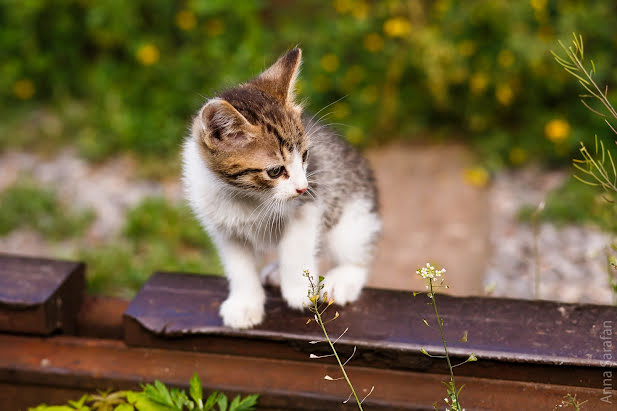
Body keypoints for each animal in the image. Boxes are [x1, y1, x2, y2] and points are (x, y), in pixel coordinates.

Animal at [180, 48, 378, 330]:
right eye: (275, 171)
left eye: (305, 156)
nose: (303, 187)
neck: (247, 195)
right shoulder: (222, 226)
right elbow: (239, 265)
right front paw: (245, 304)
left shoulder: (310, 205)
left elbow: (295, 246)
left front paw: (299, 290)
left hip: (352, 211)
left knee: (354, 248)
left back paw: (343, 278)